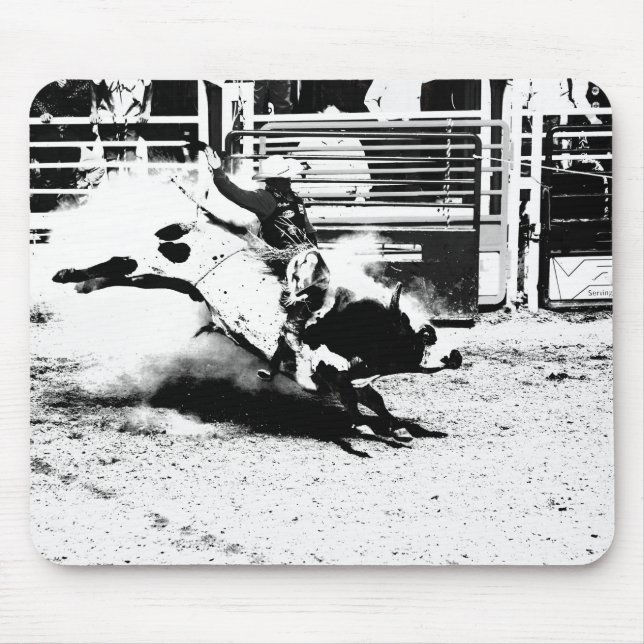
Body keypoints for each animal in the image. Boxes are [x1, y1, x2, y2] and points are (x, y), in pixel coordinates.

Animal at [52, 188, 462, 443]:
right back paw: (66, 274)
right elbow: (352, 399)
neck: (339, 324)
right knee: (120, 262)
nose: (456, 354)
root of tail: (196, 224)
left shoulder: (350, 373)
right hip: (159, 261)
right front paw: (364, 429)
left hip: (163, 280)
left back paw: (81, 284)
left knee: (120, 273)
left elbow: (373, 398)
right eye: (425, 335)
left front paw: (396, 427)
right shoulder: (324, 371)